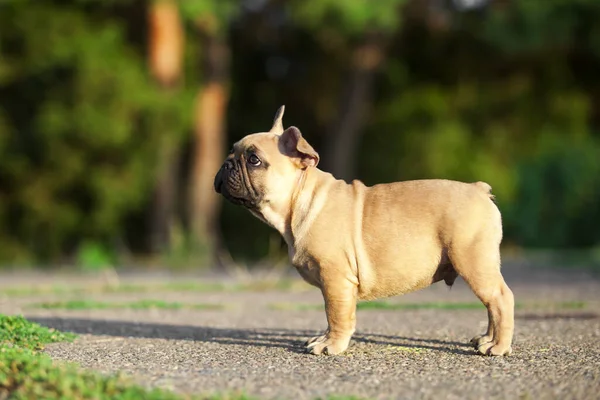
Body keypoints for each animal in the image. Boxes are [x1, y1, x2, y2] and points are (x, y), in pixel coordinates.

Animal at [213, 106, 512, 356]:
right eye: (231, 152)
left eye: (253, 160)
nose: (225, 164)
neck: (302, 200)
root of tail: (479, 189)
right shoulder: (334, 284)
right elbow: (332, 314)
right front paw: (324, 339)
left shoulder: (336, 279)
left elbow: (336, 314)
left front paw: (331, 345)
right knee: (491, 304)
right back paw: (486, 339)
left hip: (472, 261)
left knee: (500, 299)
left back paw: (497, 346)